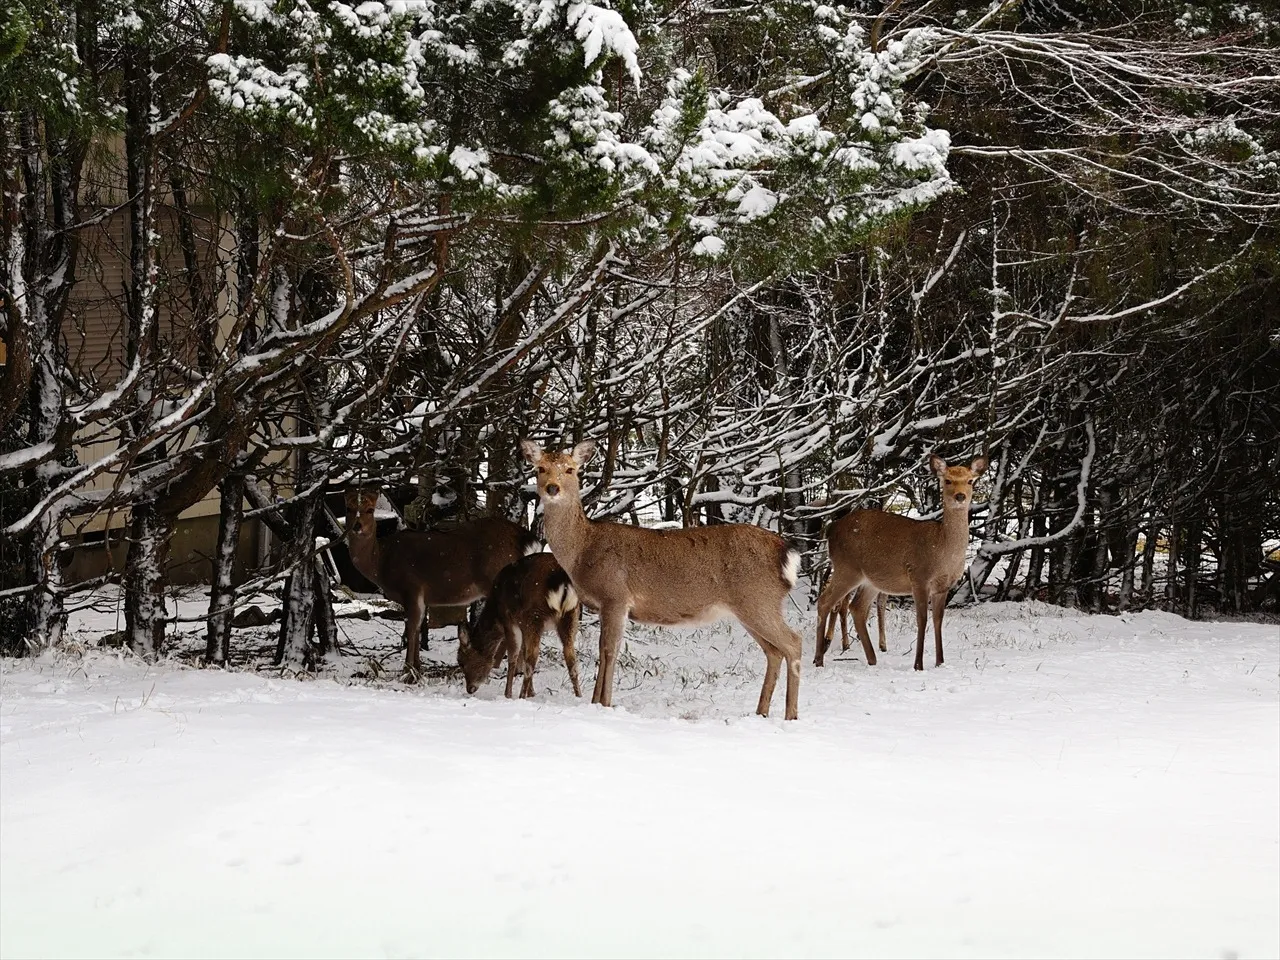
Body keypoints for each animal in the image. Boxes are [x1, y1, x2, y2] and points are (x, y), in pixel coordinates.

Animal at [343, 488, 537, 686]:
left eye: (370, 510)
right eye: (348, 508)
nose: (357, 526)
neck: (381, 562)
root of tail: (525, 538)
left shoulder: (412, 588)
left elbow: (412, 628)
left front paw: (408, 672)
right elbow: (419, 627)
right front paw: (417, 669)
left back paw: (500, 666)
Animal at [458, 552, 583, 701]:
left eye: (462, 662)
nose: (470, 688)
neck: (496, 614)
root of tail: (561, 581)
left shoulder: (509, 620)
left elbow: (513, 657)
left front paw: (508, 694)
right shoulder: (522, 627)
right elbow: (522, 653)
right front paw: (532, 693)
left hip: (534, 615)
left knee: (532, 657)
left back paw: (521, 696)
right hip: (571, 615)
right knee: (571, 658)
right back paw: (579, 696)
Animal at [517, 442, 798, 721]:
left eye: (570, 469)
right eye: (540, 468)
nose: (552, 488)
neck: (582, 550)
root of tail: (787, 553)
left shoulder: (615, 596)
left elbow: (609, 650)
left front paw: (604, 704)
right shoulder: (606, 604)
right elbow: (604, 650)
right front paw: (595, 702)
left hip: (758, 599)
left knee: (794, 643)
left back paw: (790, 716)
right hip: (751, 606)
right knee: (774, 651)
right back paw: (761, 712)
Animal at [814, 455, 983, 670]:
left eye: (970, 481)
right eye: (947, 481)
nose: (960, 496)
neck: (943, 550)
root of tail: (831, 529)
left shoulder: (944, 586)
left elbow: (937, 620)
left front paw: (940, 663)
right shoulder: (919, 576)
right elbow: (922, 619)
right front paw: (918, 665)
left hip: (870, 579)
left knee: (856, 607)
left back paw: (872, 659)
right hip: (847, 567)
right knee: (825, 601)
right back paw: (819, 659)